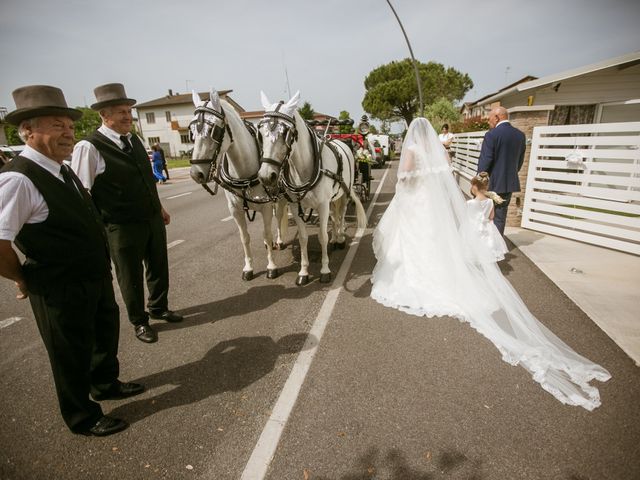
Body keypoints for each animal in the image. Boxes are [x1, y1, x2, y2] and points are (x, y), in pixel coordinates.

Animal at [189, 90, 286, 282]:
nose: (196, 173)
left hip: (279, 198)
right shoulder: (235, 210)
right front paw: (248, 267)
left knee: (278, 217)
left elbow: (266, 233)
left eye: (214, 130)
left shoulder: (265, 206)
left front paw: (271, 266)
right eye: (192, 132)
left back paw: (278, 240)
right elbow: (244, 238)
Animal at [255, 91, 364, 284]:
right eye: (260, 133)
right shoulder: (295, 206)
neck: (305, 169)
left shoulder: (322, 205)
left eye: (285, 132)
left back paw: (340, 238)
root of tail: (340, 141)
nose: (266, 176)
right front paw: (303, 272)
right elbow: (304, 238)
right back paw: (336, 238)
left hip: (344, 193)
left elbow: (322, 236)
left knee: (341, 215)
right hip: (332, 198)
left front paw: (325, 270)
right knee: (334, 217)